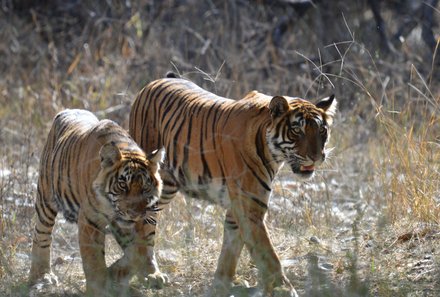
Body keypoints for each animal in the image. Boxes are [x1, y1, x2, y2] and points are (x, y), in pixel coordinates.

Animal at [28, 109, 167, 296]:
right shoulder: (90, 220)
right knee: (41, 235)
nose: (134, 214)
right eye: (123, 185)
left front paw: (121, 274)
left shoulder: (144, 218)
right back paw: (42, 277)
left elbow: (141, 248)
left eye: (145, 188)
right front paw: (99, 288)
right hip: (46, 198)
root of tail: (67, 110)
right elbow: (94, 259)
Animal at [128, 72, 336, 296]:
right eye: (297, 130)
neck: (272, 153)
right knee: (142, 222)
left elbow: (231, 247)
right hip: (158, 182)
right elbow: (269, 256)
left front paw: (221, 284)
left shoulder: (239, 207)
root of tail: (157, 81)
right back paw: (149, 273)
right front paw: (284, 290)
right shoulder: (250, 207)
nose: (317, 157)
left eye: (322, 131)